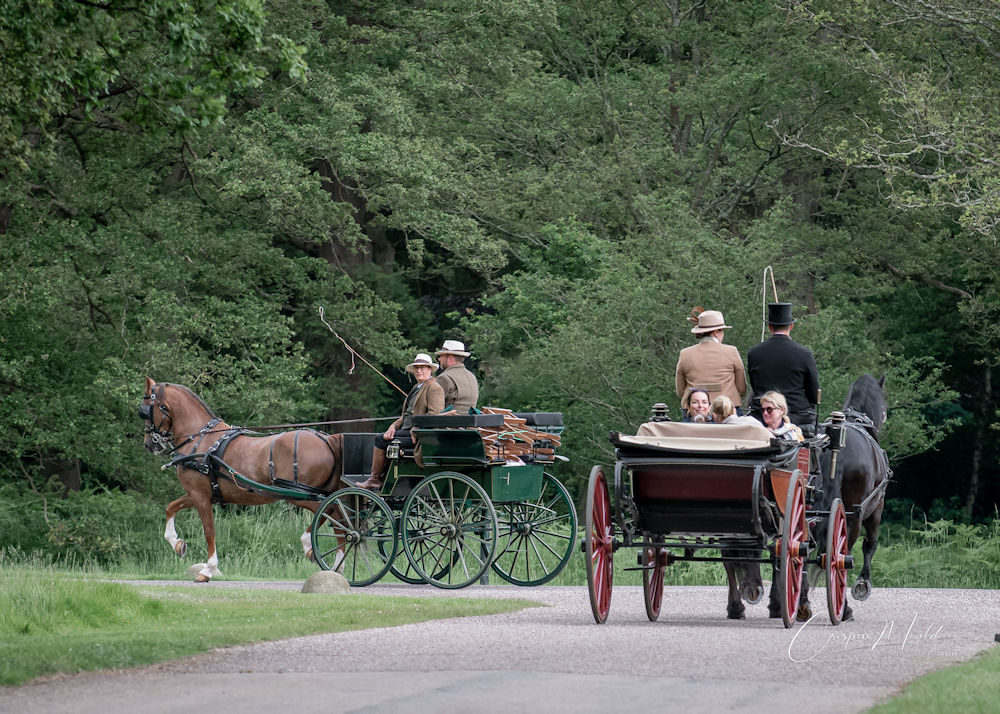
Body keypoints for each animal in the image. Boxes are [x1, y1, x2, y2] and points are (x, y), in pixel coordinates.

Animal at [139, 376, 346, 580]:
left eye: (144, 410)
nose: (148, 444)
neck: (200, 440)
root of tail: (327, 440)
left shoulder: (200, 496)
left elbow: (209, 531)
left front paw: (208, 569)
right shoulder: (198, 494)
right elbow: (170, 508)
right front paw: (178, 544)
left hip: (298, 494)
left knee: (332, 513)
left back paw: (315, 550)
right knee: (339, 519)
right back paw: (336, 567)